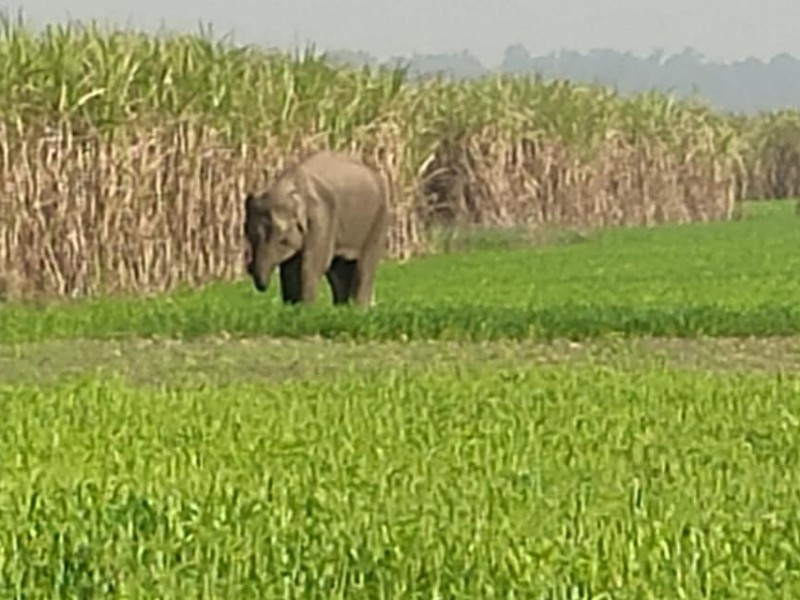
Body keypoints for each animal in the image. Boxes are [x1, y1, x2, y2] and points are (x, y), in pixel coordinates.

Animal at [244, 150, 394, 310]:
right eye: (249, 236)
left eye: (282, 240)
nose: (249, 268)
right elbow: (289, 268)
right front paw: (292, 308)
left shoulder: (322, 216)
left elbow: (313, 264)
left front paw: (307, 309)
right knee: (339, 269)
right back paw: (342, 308)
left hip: (381, 215)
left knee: (364, 265)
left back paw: (359, 309)